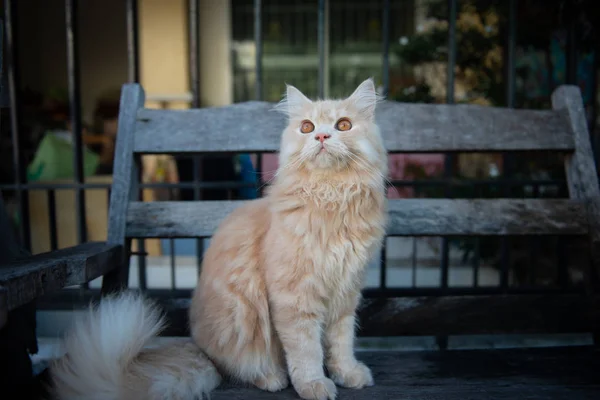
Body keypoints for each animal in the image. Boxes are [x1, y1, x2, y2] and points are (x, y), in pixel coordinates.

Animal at [49, 79, 386, 400]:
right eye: (307, 127)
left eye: (343, 125)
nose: (322, 137)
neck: (330, 198)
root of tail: (199, 347)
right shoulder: (295, 298)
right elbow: (307, 351)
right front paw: (313, 384)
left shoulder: (346, 293)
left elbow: (341, 342)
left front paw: (347, 373)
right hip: (240, 321)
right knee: (240, 366)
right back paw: (272, 378)